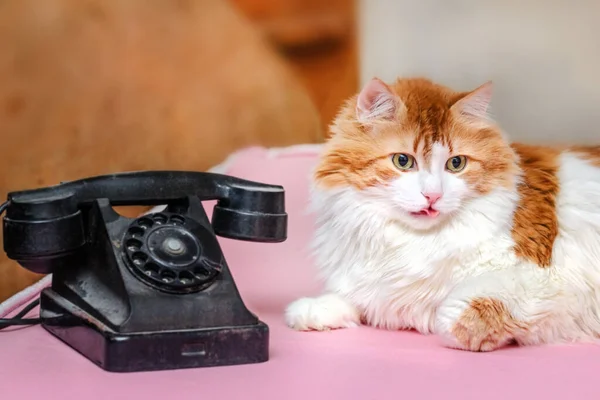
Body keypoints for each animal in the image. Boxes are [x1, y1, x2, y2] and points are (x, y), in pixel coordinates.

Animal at [284, 75, 600, 350]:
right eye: (403, 161)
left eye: (456, 164)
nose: (433, 196)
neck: (413, 242)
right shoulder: (376, 287)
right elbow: (353, 298)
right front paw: (312, 310)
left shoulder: (544, 281)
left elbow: (452, 313)